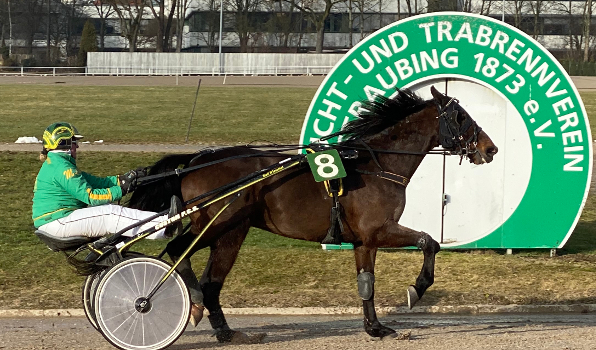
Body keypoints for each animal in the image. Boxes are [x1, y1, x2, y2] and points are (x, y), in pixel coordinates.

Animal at [129, 86, 498, 340]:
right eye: (461, 116)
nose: (490, 148)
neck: (378, 164)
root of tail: (194, 161)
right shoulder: (380, 229)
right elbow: (429, 242)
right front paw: (416, 289)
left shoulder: (363, 241)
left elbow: (367, 283)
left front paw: (375, 327)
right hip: (221, 225)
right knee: (182, 255)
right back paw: (190, 305)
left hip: (228, 230)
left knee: (208, 279)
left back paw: (225, 329)